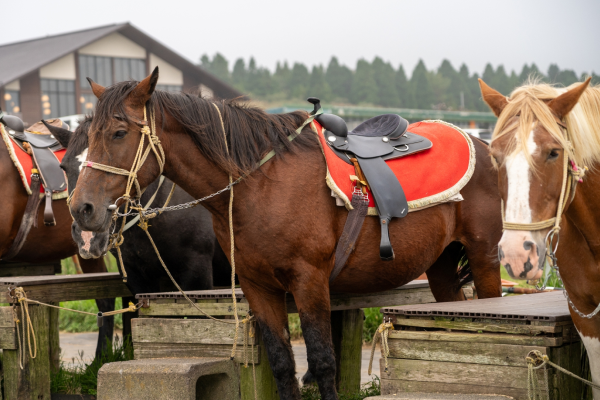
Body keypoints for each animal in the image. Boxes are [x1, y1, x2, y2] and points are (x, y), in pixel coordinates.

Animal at [68, 67, 504, 398]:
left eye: (119, 133)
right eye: (87, 139)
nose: (81, 209)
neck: (260, 183)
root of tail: (482, 144)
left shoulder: (308, 281)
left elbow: (323, 363)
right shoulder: (258, 287)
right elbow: (281, 365)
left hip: (484, 257)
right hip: (442, 265)